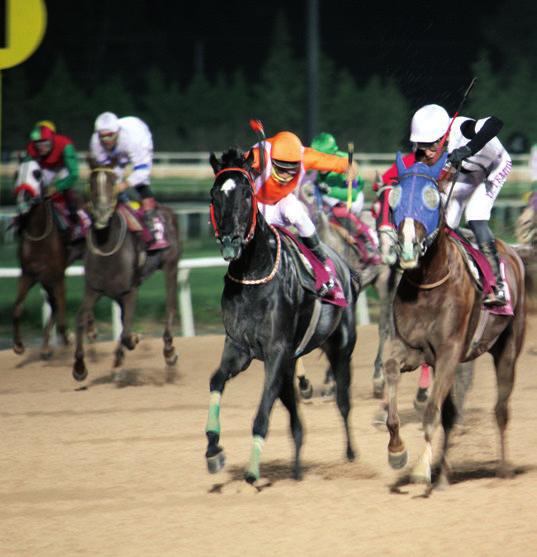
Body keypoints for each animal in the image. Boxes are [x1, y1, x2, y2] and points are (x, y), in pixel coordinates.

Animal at [11, 159, 85, 358]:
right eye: (16, 173)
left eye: (37, 173)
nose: (23, 198)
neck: (39, 233)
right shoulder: (29, 274)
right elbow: (18, 308)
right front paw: (19, 345)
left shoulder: (57, 276)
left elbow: (60, 309)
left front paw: (68, 339)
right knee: (54, 304)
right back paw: (45, 347)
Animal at [71, 166, 181, 382]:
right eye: (92, 183)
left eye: (112, 182)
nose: (102, 213)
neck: (107, 248)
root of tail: (169, 211)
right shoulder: (94, 288)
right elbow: (81, 318)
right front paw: (79, 367)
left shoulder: (131, 290)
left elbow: (126, 331)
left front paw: (126, 350)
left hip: (171, 266)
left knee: (170, 306)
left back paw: (169, 351)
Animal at [382, 154, 524, 488]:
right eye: (394, 199)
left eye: (431, 198)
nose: (407, 247)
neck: (428, 282)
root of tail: (512, 252)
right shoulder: (415, 350)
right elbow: (393, 372)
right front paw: (397, 451)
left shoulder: (449, 350)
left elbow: (431, 412)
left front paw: (421, 469)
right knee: (450, 414)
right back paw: (444, 473)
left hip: (508, 348)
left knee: (501, 409)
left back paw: (503, 468)